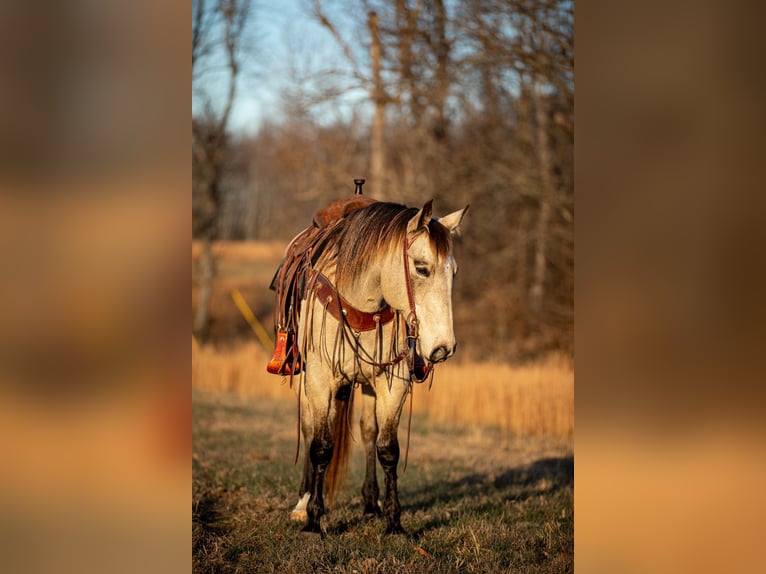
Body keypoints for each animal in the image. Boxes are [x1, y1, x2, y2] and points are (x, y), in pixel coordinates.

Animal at [269, 198, 468, 535]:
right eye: (421, 268)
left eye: (454, 272)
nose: (444, 348)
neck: (359, 303)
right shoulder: (320, 380)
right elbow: (321, 446)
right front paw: (313, 519)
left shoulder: (393, 382)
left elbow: (387, 448)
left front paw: (393, 521)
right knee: (310, 430)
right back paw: (302, 503)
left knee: (367, 430)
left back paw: (370, 503)